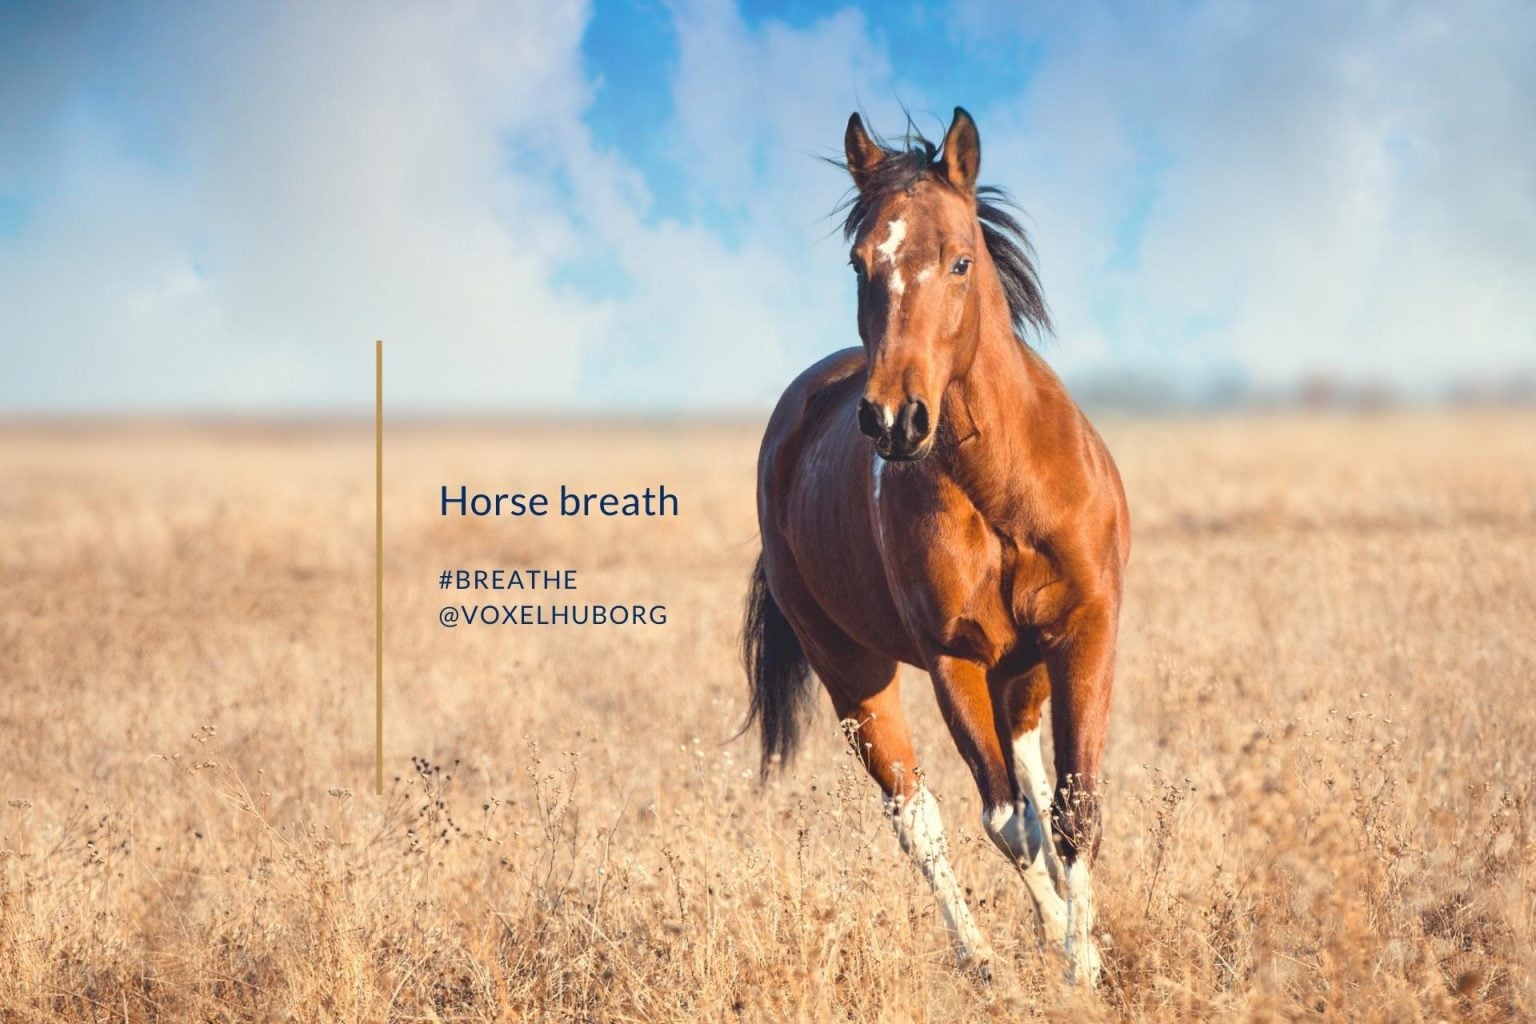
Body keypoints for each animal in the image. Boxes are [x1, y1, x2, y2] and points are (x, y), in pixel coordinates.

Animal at [742, 107, 1130, 987]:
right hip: (856, 675)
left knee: (1032, 789)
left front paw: (1086, 955)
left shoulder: (1083, 631)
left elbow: (1071, 808)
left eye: (960, 260)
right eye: (860, 262)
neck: (1006, 490)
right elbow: (1004, 822)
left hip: (1022, 674)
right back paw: (982, 960)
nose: (894, 419)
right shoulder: (955, 661)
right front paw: (1067, 957)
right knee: (917, 817)